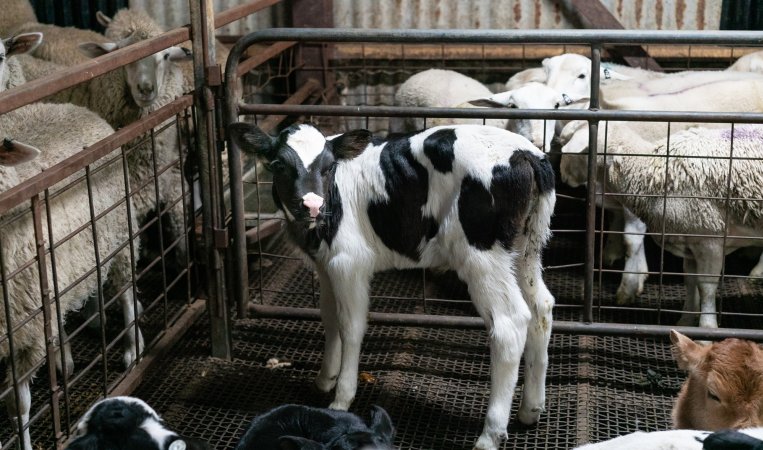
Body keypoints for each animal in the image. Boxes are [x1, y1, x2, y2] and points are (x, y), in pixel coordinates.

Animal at [230, 121, 560, 448]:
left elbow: (351, 326)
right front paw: (324, 379)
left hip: (481, 254)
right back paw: (531, 409)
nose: (312, 204)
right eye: (278, 165)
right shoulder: (326, 264)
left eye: (328, 167)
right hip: (525, 247)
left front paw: (342, 398)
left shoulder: (349, 261)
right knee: (541, 307)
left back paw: (490, 434)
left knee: (510, 323)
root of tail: (526, 153)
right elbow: (330, 319)